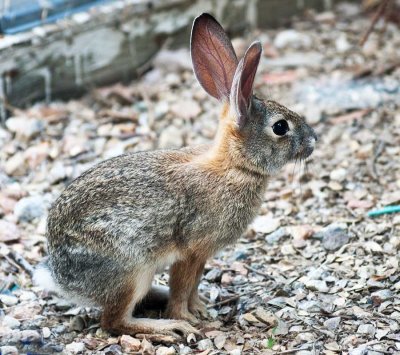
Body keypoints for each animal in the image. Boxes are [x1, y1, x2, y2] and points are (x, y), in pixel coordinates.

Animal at [33, 13, 316, 340]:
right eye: (280, 127)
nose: (313, 140)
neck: (235, 166)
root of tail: (59, 275)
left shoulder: (202, 255)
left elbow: (192, 287)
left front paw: (202, 309)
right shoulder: (190, 251)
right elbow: (182, 288)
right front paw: (187, 318)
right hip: (132, 270)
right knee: (113, 322)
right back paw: (168, 326)